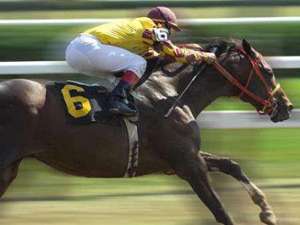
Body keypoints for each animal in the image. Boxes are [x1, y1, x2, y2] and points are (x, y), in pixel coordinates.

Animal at [0, 39, 292, 225]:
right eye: (268, 71)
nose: (286, 106)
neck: (172, 94)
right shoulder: (188, 164)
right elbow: (220, 211)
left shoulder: (180, 159)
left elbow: (232, 164)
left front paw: (266, 211)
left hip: (9, 169)